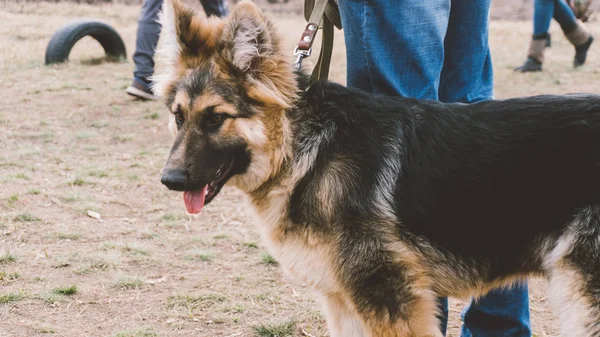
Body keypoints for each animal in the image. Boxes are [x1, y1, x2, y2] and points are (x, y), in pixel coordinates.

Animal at [157, 1, 600, 334]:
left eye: (217, 118)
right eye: (178, 116)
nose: (169, 180)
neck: (309, 151)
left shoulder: (390, 298)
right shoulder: (344, 301)